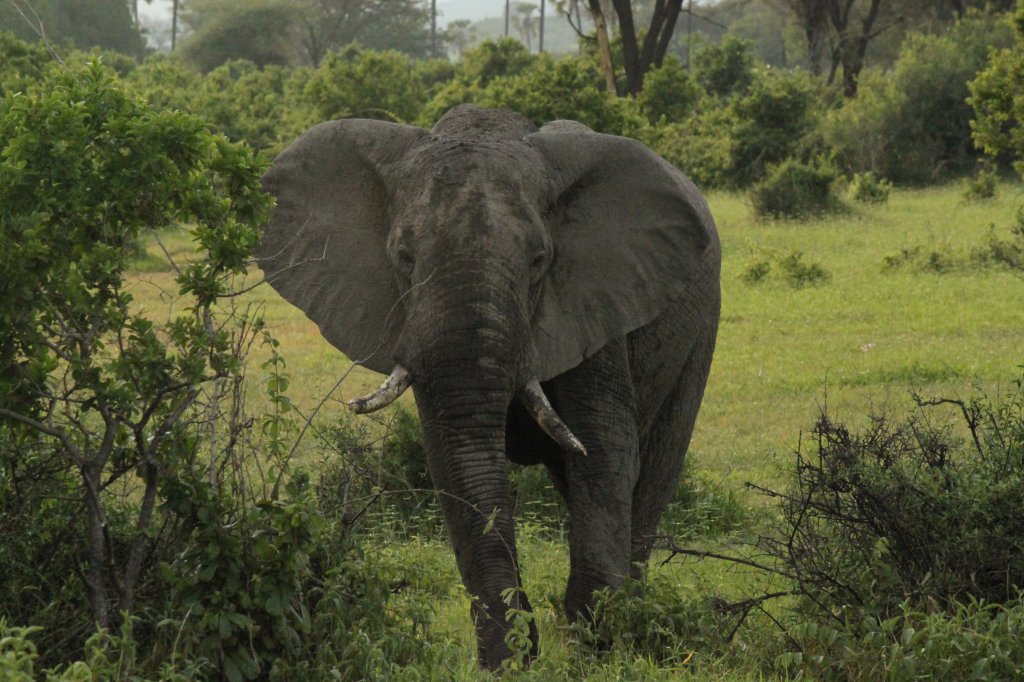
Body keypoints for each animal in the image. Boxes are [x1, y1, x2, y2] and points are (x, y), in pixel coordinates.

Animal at [256, 103, 720, 667]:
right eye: (404, 256)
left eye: (539, 262)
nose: (521, 652)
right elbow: (451, 459)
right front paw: (514, 657)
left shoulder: (594, 302)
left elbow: (604, 453)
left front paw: (599, 647)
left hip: (699, 331)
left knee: (654, 469)